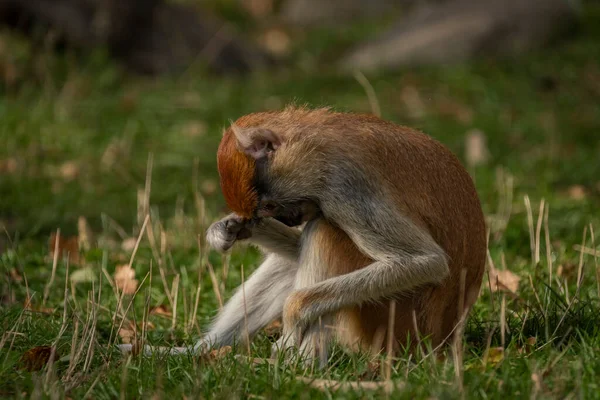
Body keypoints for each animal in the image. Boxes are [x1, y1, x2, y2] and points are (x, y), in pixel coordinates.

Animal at [199, 106, 486, 366]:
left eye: (269, 206)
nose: (289, 219)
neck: (316, 144)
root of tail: (444, 340)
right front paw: (230, 228)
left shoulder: (345, 185)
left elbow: (426, 262)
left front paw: (291, 324)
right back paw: (201, 352)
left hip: (397, 325)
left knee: (323, 231)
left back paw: (301, 364)